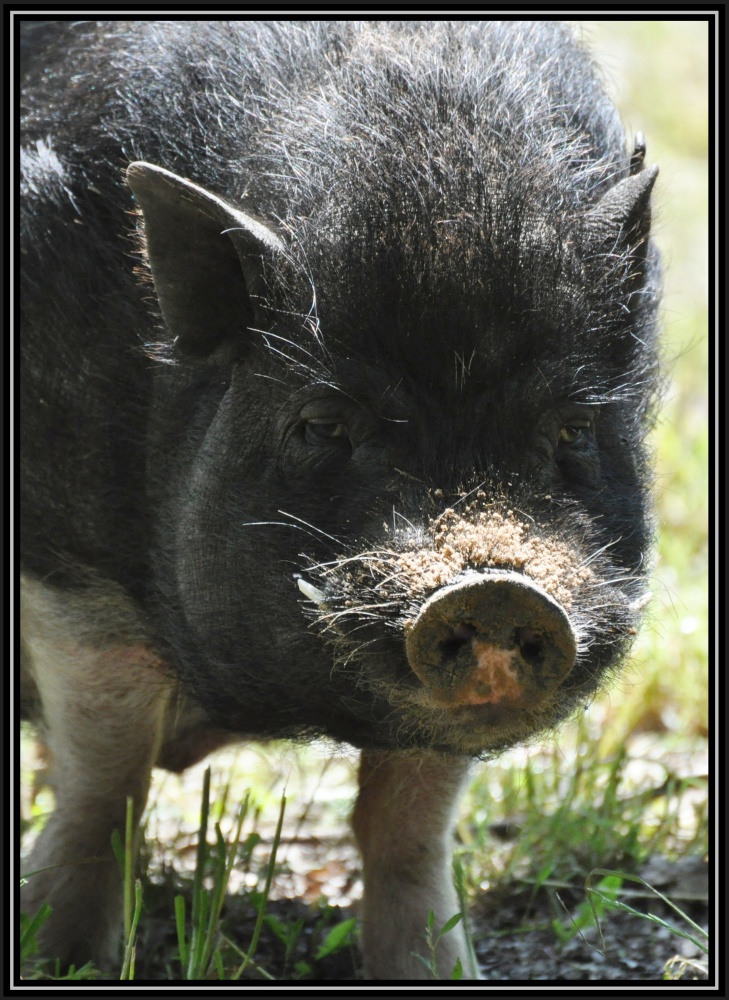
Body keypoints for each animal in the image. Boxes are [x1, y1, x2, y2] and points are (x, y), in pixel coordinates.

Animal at [21, 19, 660, 980]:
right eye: (321, 423)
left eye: (572, 428)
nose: (497, 590)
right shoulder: (66, 563)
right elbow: (106, 779)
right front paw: (61, 960)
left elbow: (407, 821)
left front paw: (438, 972)